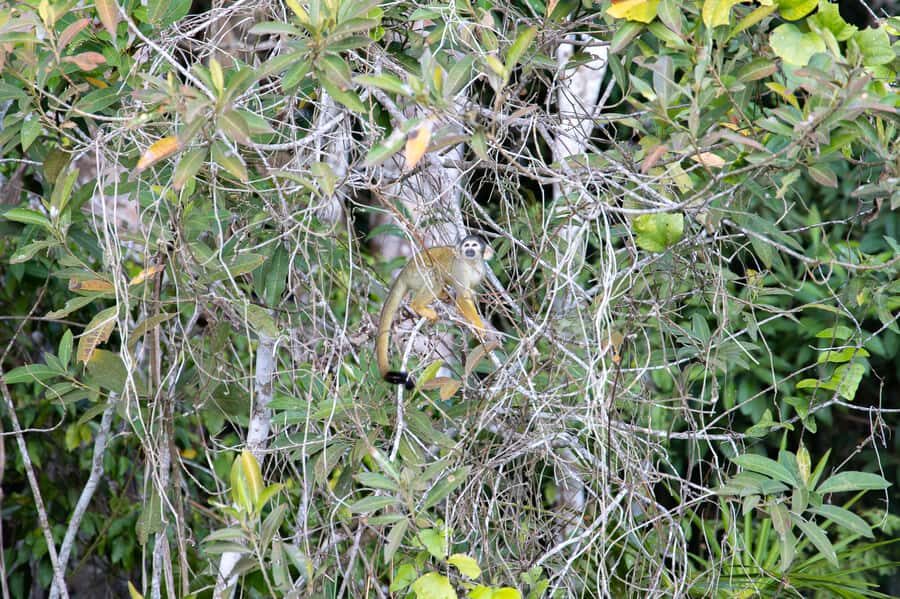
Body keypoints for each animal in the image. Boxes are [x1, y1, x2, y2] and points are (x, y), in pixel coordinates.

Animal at [376, 235, 494, 389]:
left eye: (474, 245)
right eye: (467, 245)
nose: (469, 250)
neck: (471, 264)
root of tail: (404, 272)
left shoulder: (481, 271)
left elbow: (467, 296)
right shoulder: (460, 268)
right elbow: (462, 298)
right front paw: (478, 325)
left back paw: (443, 295)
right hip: (417, 274)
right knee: (434, 275)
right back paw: (418, 306)